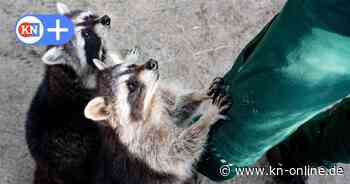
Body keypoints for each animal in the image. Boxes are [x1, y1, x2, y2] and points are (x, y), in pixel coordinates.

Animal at [85, 58, 232, 183]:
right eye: (131, 86)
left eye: (132, 65)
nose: (152, 63)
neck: (149, 108)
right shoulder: (146, 150)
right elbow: (180, 150)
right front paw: (208, 118)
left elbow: (178, 110)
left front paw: (201, 94)